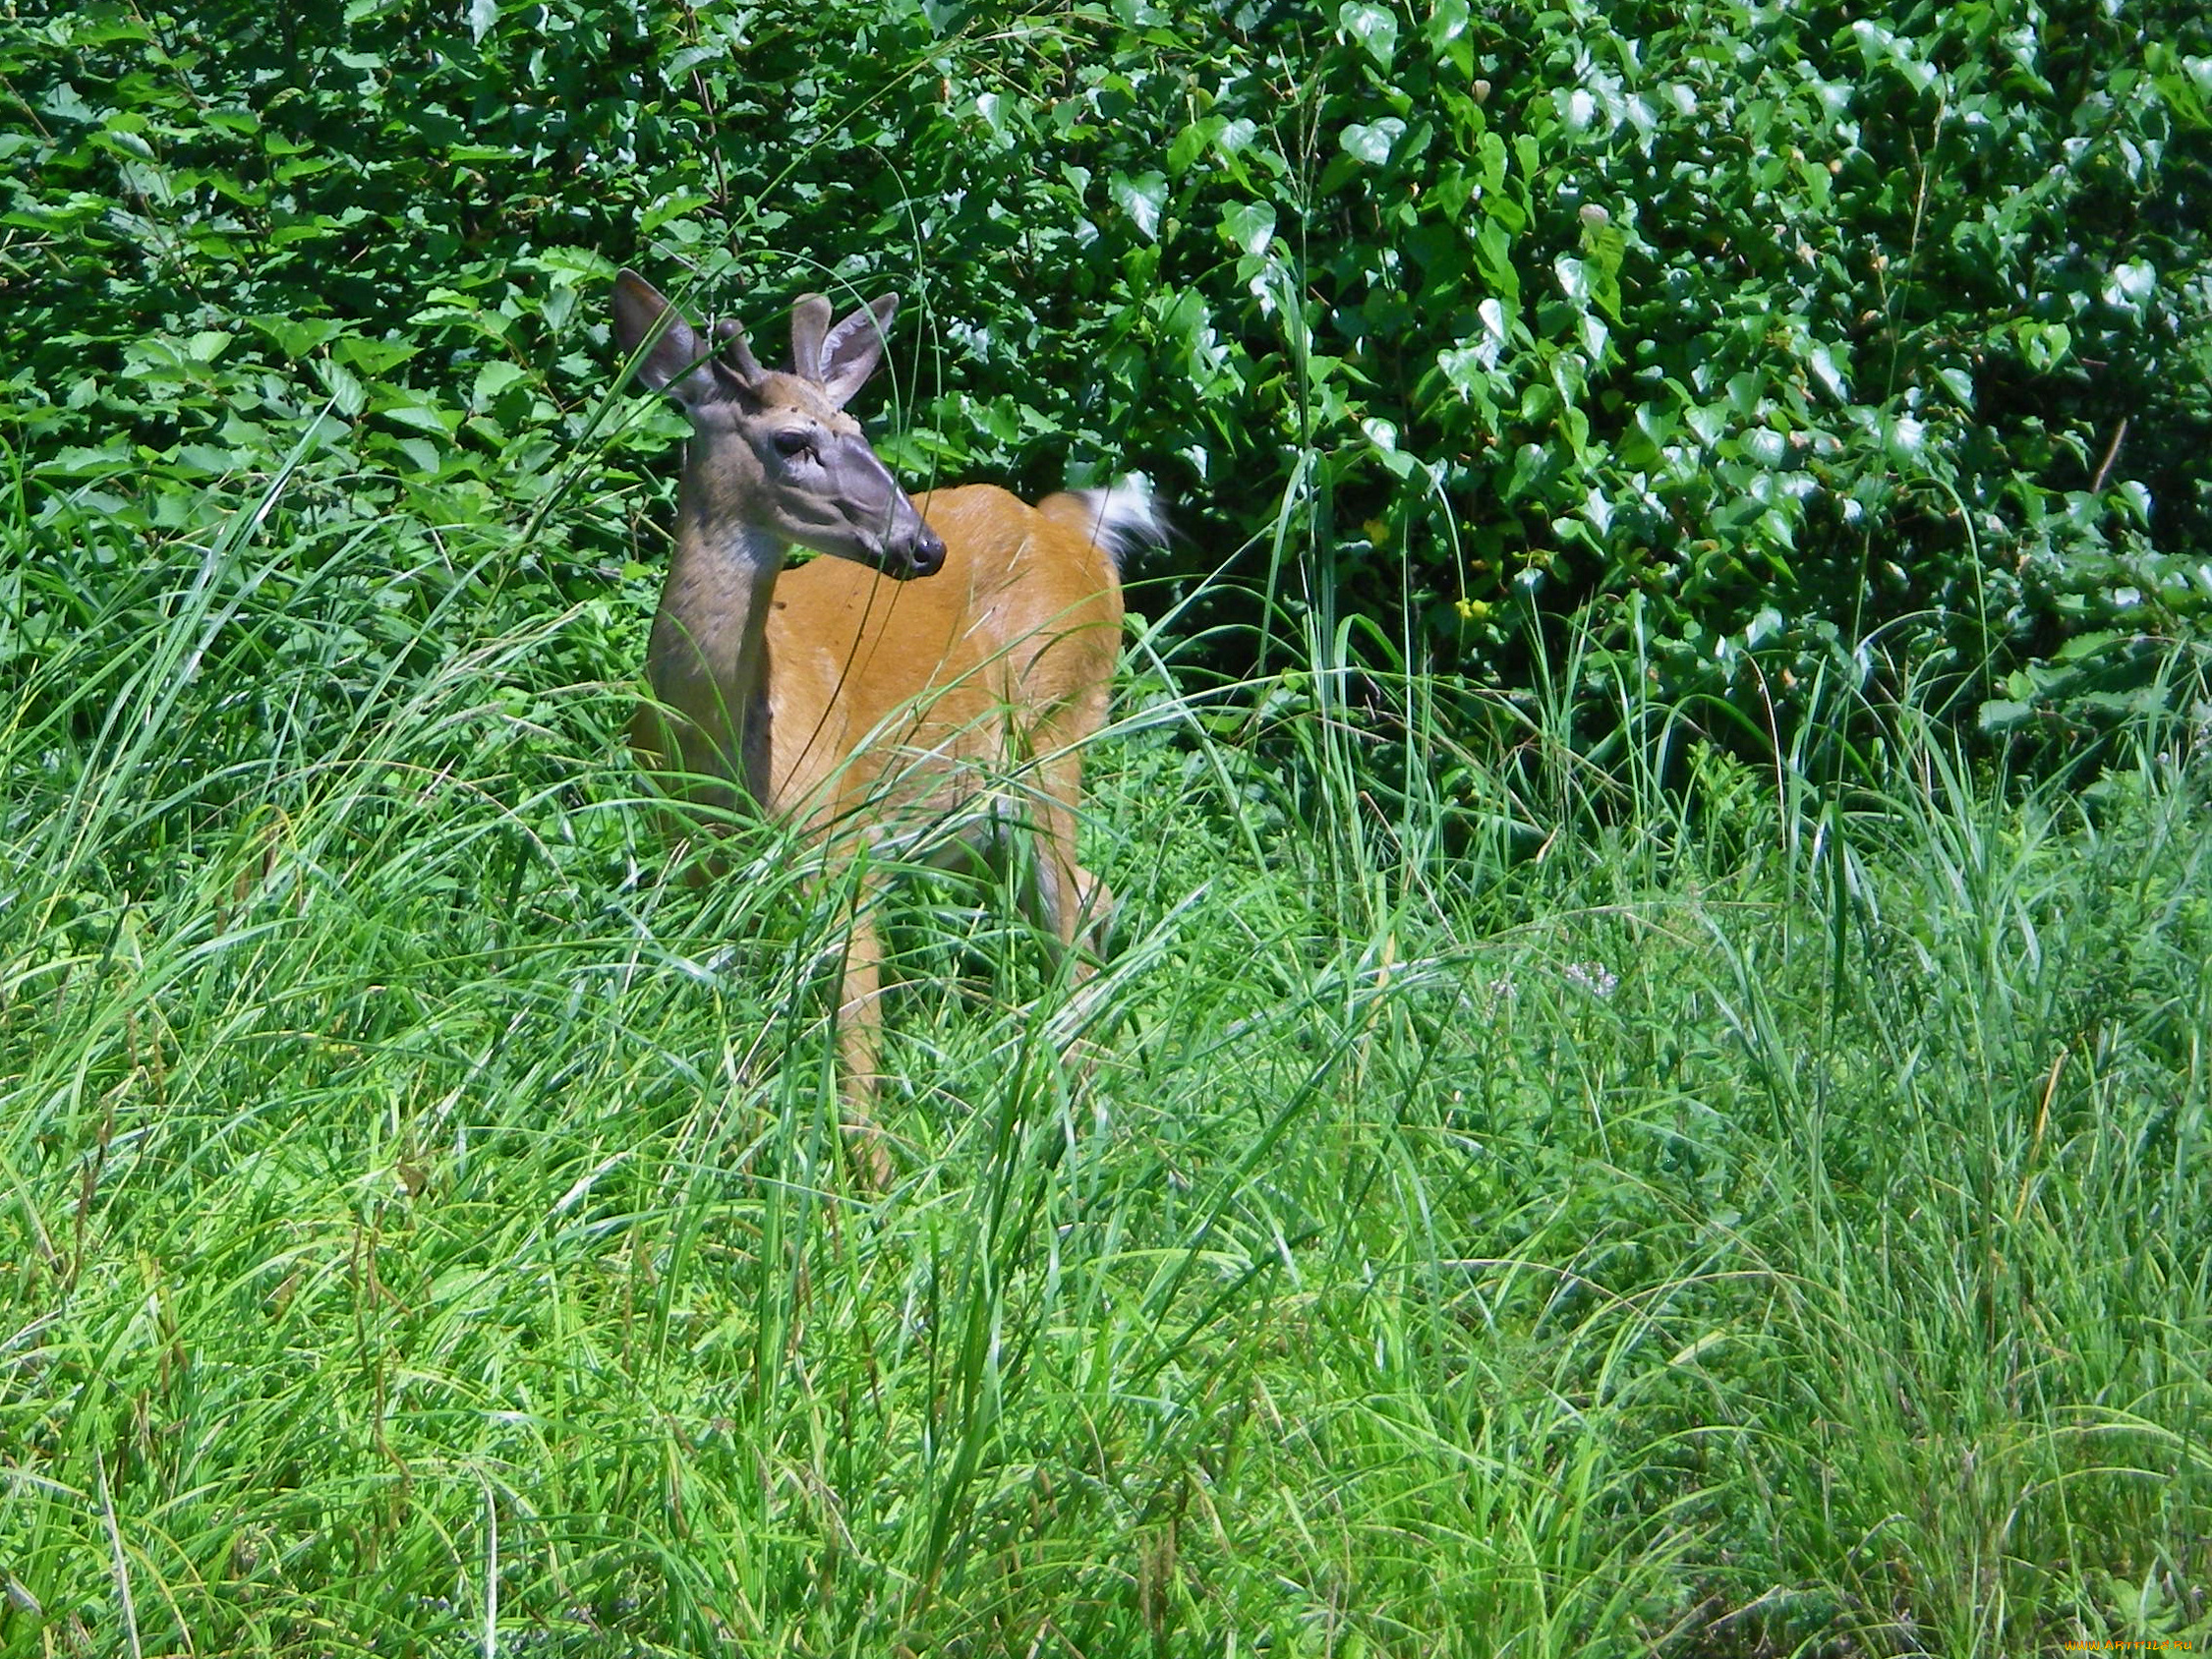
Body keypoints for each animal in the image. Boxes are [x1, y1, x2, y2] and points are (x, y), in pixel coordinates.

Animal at [611, 269, 1159, 1185]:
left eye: (862, 430)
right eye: (792, 440)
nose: (921, 547)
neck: (718, 741)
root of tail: (1067, 525)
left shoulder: (841, 841)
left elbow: (853, 1032)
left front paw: (869, 1178)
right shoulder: (685, 855)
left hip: (1059, 722)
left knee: (1069, 913)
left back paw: (1079, 1119)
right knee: (1089, 895)